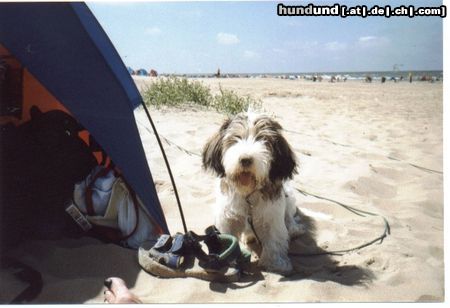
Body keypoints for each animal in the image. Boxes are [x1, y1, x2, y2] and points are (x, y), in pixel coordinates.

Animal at [202, 112, 304, 274]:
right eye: (236, 138)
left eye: (263, 140)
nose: (245, 159)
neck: (248, 193)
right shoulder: (226, 216)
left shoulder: (272, 214)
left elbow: (274, 238)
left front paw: (276, 263)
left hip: (288, 198)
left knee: (289, 217)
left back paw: (294, 229)